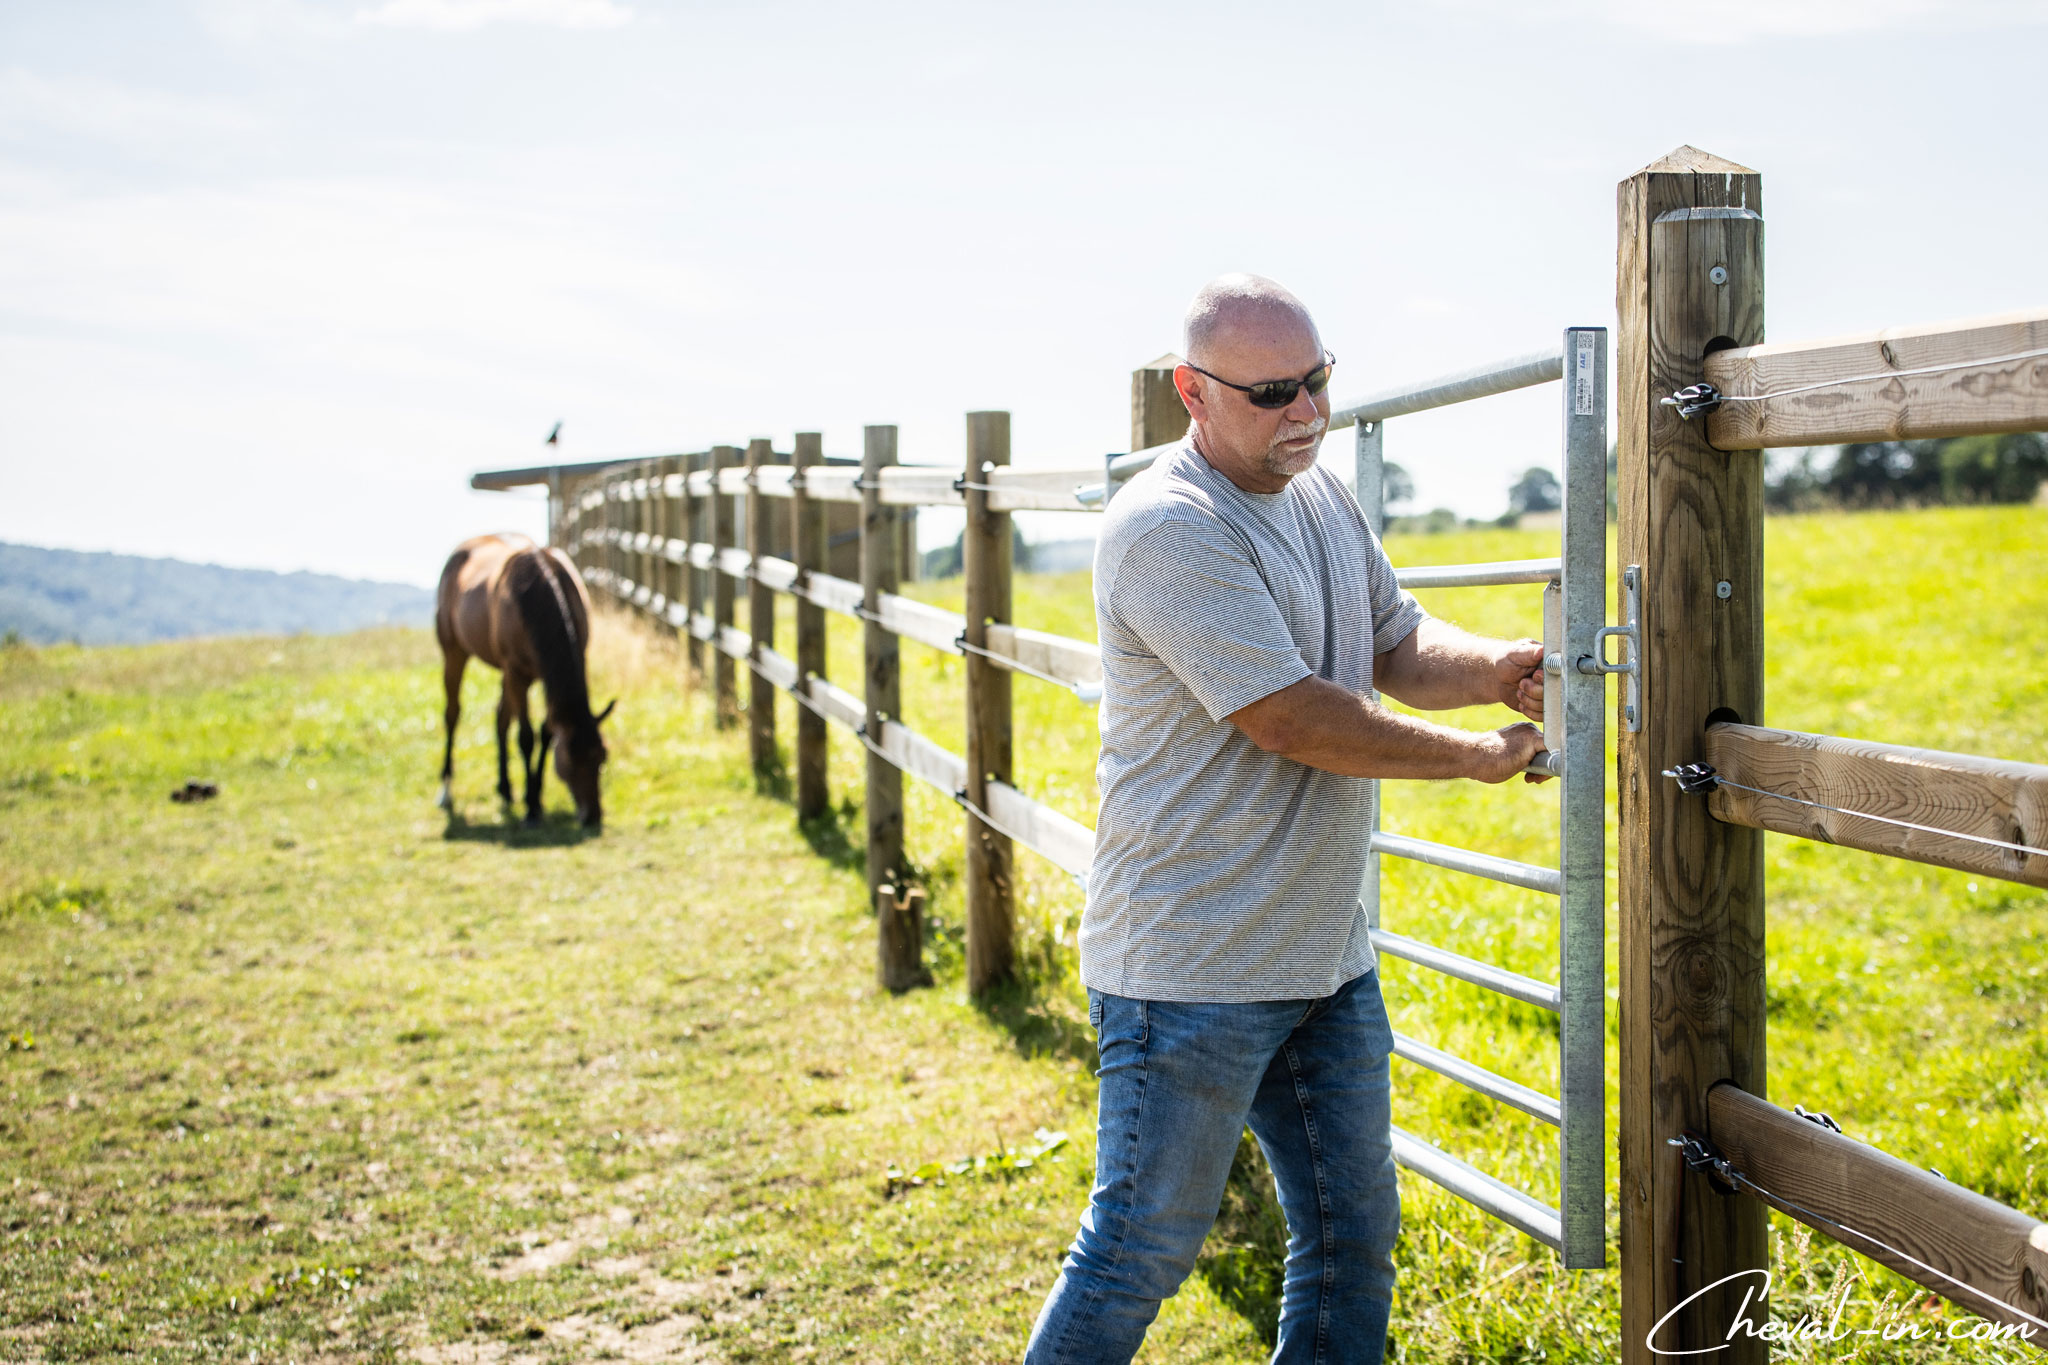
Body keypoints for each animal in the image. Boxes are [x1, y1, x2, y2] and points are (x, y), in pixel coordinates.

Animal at [436, 536, 610, 826]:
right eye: (570, 761)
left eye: (602, 758)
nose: (593, 816)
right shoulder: (517, 672)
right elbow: (526, 737)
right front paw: (530, 809)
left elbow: (546, 732)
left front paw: (536, 798)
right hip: (454, 650)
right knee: (453, 713)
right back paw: (446, 790)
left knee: (500, 717)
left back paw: (505, 789)